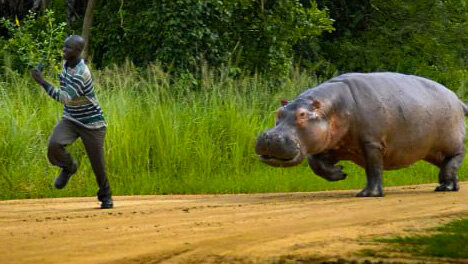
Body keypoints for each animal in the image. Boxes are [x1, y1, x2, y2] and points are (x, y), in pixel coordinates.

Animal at [256, 72, 468, 196]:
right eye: (279, 112)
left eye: (301, 115)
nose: (269, 137)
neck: (334, 108)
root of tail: (457, 99)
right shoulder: (331, 144)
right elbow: (316, 163)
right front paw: (339, 173)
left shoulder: (372, 143)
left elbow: (373, 169)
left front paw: (368, 194)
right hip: (431, 151)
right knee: (447, 166)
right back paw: (447, 187)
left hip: (449, 142)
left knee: (458, 155)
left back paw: (446, 188)